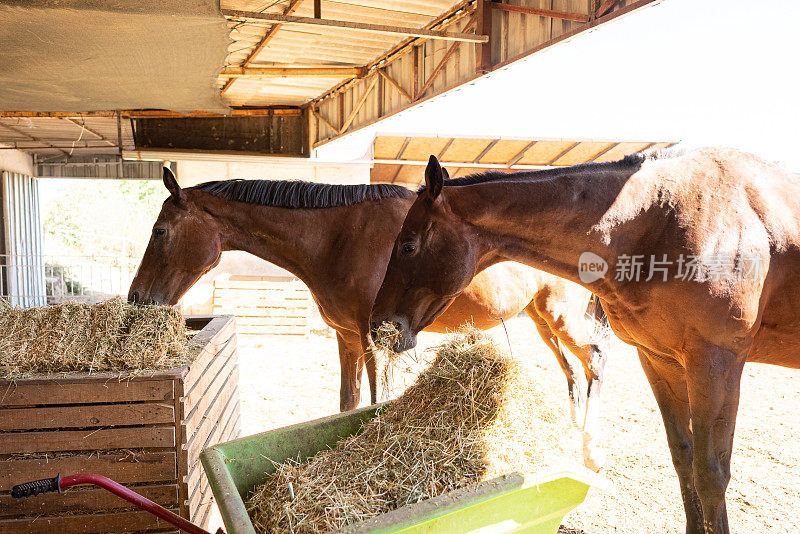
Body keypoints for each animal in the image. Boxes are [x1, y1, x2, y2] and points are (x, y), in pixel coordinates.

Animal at [128, 171, 608, 464]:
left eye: (160, 231)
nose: (136, 298)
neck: (338, 237)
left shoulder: (374, 337)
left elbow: (376, 400)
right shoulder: (346, 338)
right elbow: (348, 401)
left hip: (561, 318)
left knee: (594, 361)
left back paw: (589, 447)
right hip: (542, 320)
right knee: (571, 371)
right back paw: (571, 428)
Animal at [374, 150, 800, 534]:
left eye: (408, 244)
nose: (378, 324)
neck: (656, 222)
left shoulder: (715, 362)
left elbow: (711, 475)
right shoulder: (659, 360)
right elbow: (683, 458)